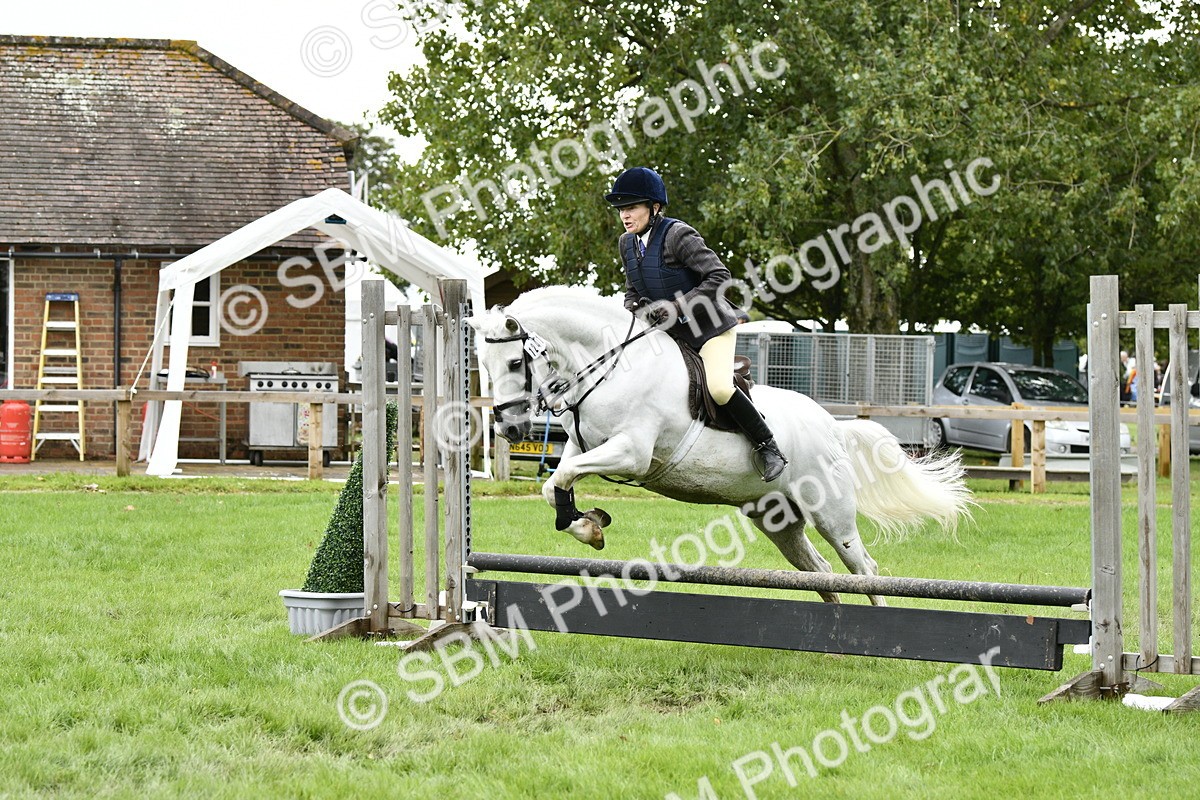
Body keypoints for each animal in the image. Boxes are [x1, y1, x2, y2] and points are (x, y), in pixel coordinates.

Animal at [469, 286, 972, 605]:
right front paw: (587, 523)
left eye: (514, 362)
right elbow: (554, 483)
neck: (613, 364)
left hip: (833, 514)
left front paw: (589, 524)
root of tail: (833, 425)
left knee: (864, 569)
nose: (510, 429)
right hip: (778, 520)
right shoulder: (579, 445)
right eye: (483, 365)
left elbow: (566, 477)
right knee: (822, 572)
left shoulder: (632, 452)